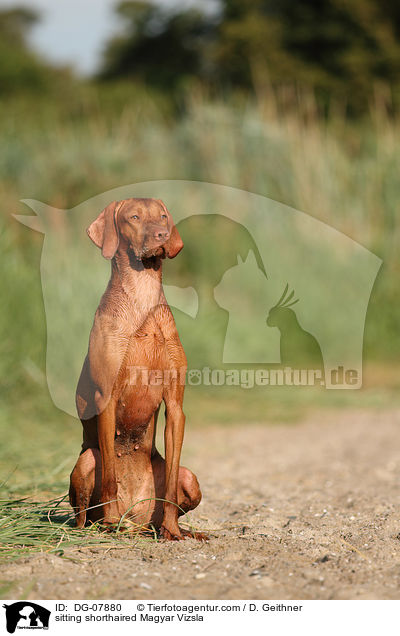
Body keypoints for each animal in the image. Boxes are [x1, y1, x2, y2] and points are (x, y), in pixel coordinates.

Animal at [68, 196, 203, 540]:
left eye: (163, 217)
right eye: (134, 217)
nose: (161, 235)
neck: (143, 299)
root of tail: (138, 521)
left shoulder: (176, 407)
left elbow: (170, 486)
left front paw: (173, 531)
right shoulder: (107, 399)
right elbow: (110, 479)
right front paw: (110, 520)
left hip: (190, 477)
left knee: (177, 483)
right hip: (87, 460)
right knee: (83, 512)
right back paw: (104, 525)